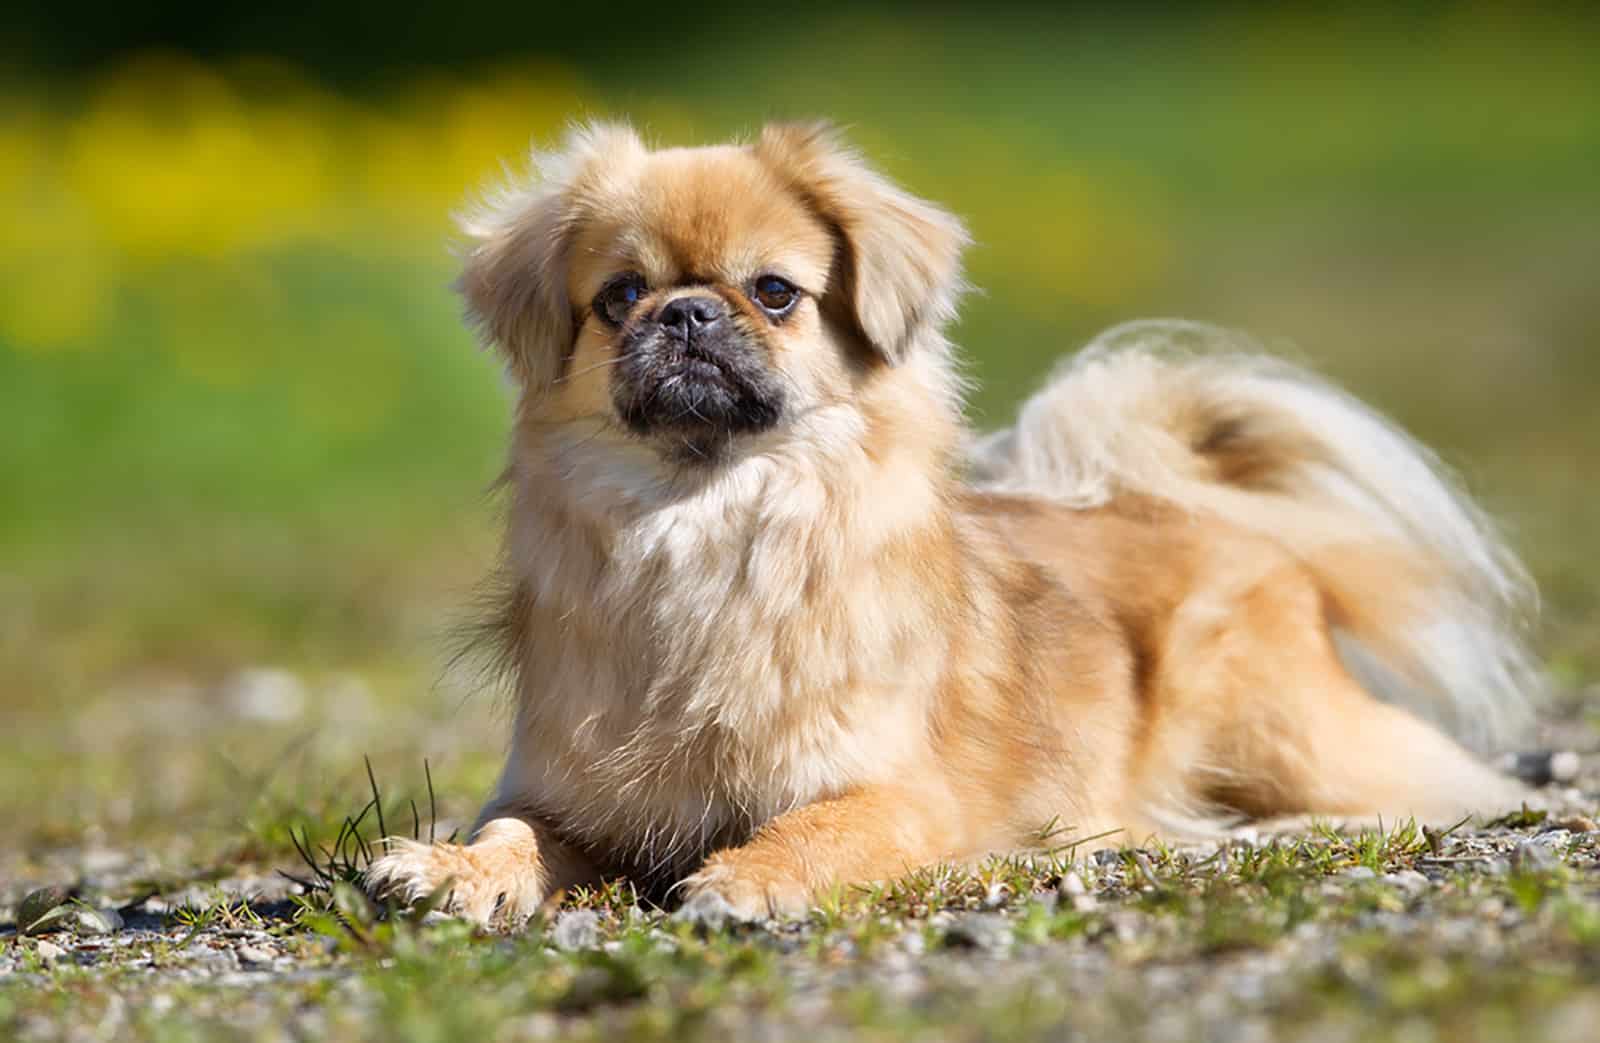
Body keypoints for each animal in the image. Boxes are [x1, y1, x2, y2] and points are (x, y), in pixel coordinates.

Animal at [363, 122, 1536, 927]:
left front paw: (747, 876)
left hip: (1277, 732)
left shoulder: (896, 792)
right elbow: (511, 830)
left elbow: (816, 822)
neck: (706, 526)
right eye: (619, 298)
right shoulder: (564, 795)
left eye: (774, 292)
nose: (687, 312)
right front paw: (445, 869)